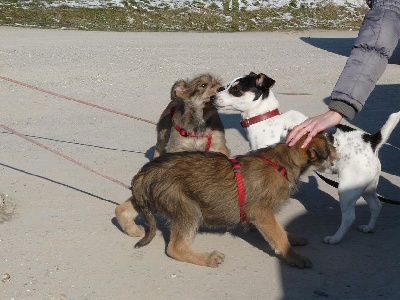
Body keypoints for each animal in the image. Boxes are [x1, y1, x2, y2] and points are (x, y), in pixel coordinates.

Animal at [129, 132, 338, 268]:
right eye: (330, 144)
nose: (338, 152)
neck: (283, 161)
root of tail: (148, 171)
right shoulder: (261, 212)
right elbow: (278, 236)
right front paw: (293, 256)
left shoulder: (264, 216)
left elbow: (279, 230)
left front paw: (291, 237)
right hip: (188, 209)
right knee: (175, 248)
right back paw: (208, 258)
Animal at [211, 72, 398, 244]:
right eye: (227, 86)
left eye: (236, 90)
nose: (212, 97)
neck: (266, 121)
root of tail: (372, 141)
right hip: (366, 186)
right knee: (376, 206)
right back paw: (369, 227)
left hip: (348, 189)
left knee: (350, 217)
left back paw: (335, 238)